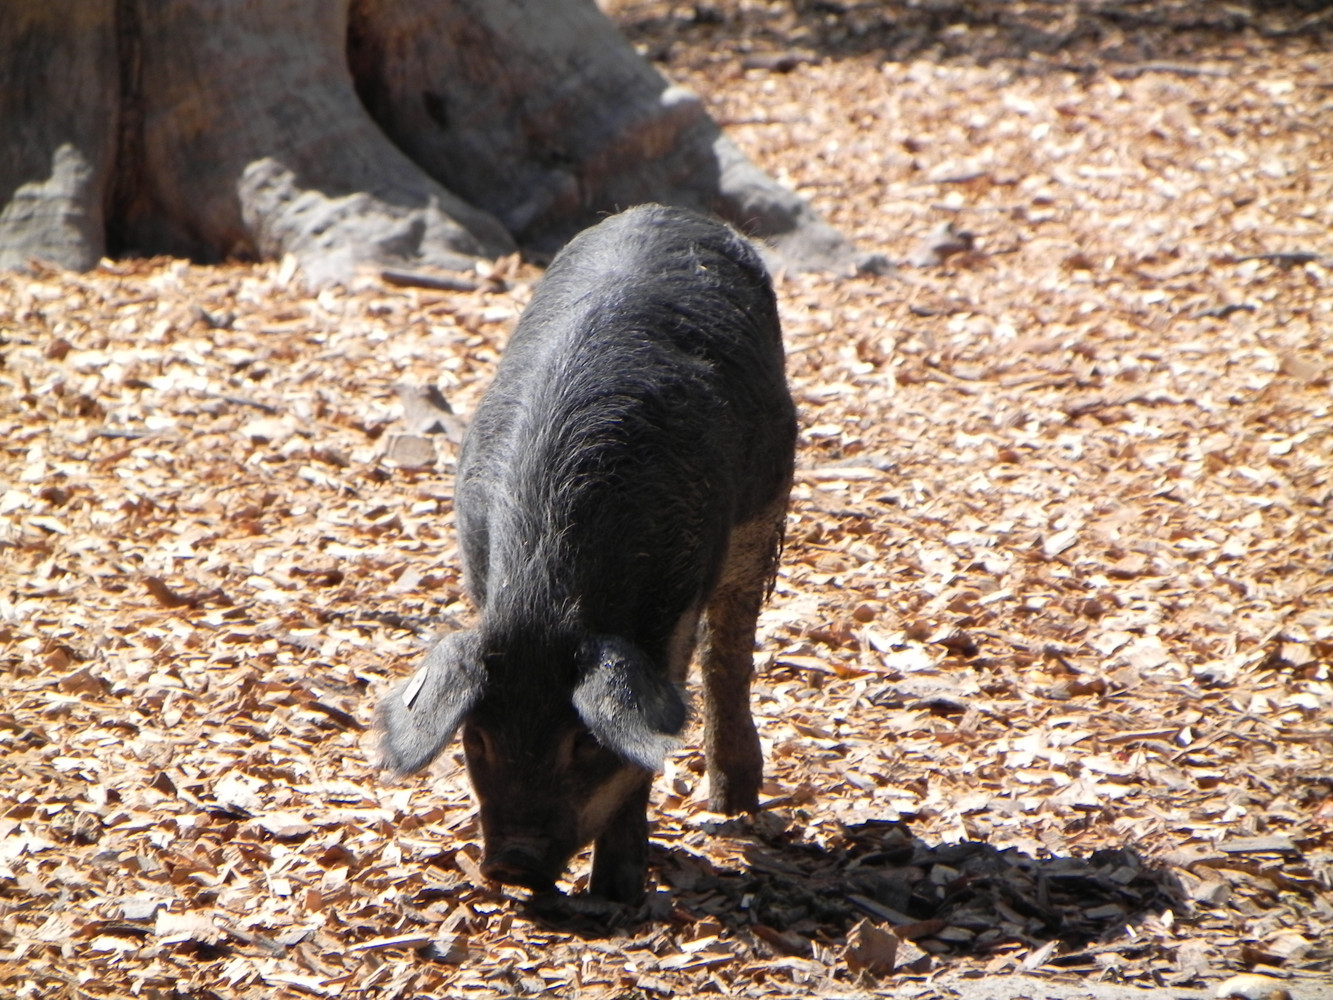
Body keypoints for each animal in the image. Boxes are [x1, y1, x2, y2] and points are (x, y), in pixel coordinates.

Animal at [377, 203, 796, 903]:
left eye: (582, 742)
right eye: (478, 738)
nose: (511, 863)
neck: (550, 596)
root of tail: (669, 210)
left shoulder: (674, 606)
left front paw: (619, 894)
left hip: (767, 502)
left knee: (730, 652)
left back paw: (732, 807)